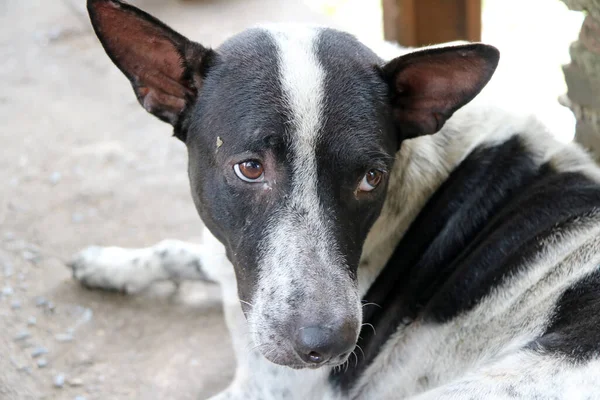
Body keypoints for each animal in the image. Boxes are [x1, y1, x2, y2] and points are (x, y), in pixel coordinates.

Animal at [70, 1, 600, 398]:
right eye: (249, 168)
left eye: (371, 178)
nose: (326, 345)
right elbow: (177, 251)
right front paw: (110, 264)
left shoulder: (261, 389)